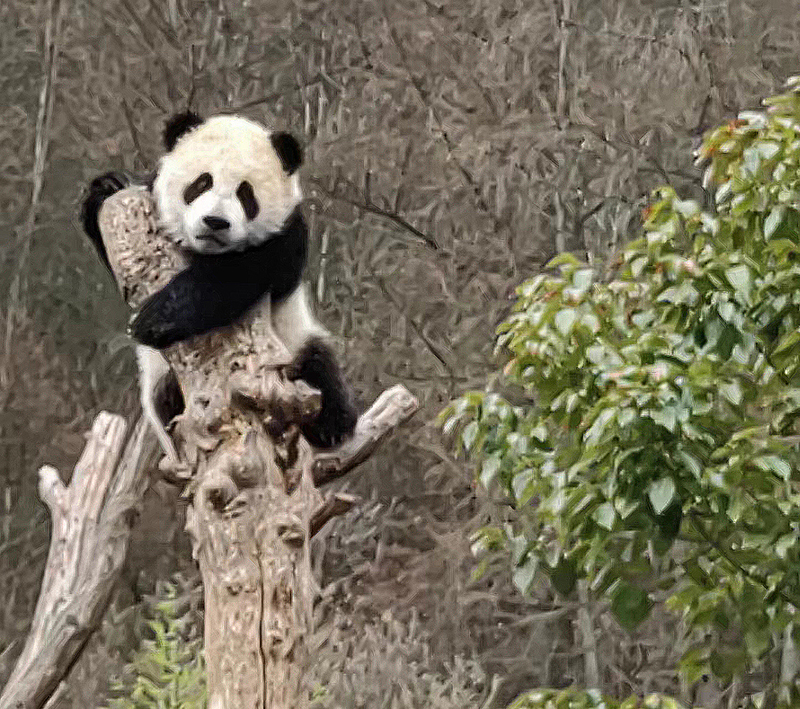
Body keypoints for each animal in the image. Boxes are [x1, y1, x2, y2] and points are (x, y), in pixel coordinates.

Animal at [81, 110, 356, 460]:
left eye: (245, 194)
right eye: (201, 183)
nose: (215, 222)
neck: (205, 252)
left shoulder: (287, 234)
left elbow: (239, 276)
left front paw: (158, 317)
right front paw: (109, 185)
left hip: (295, 344)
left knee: (319, 369)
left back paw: (330, 426)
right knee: (166, 399)